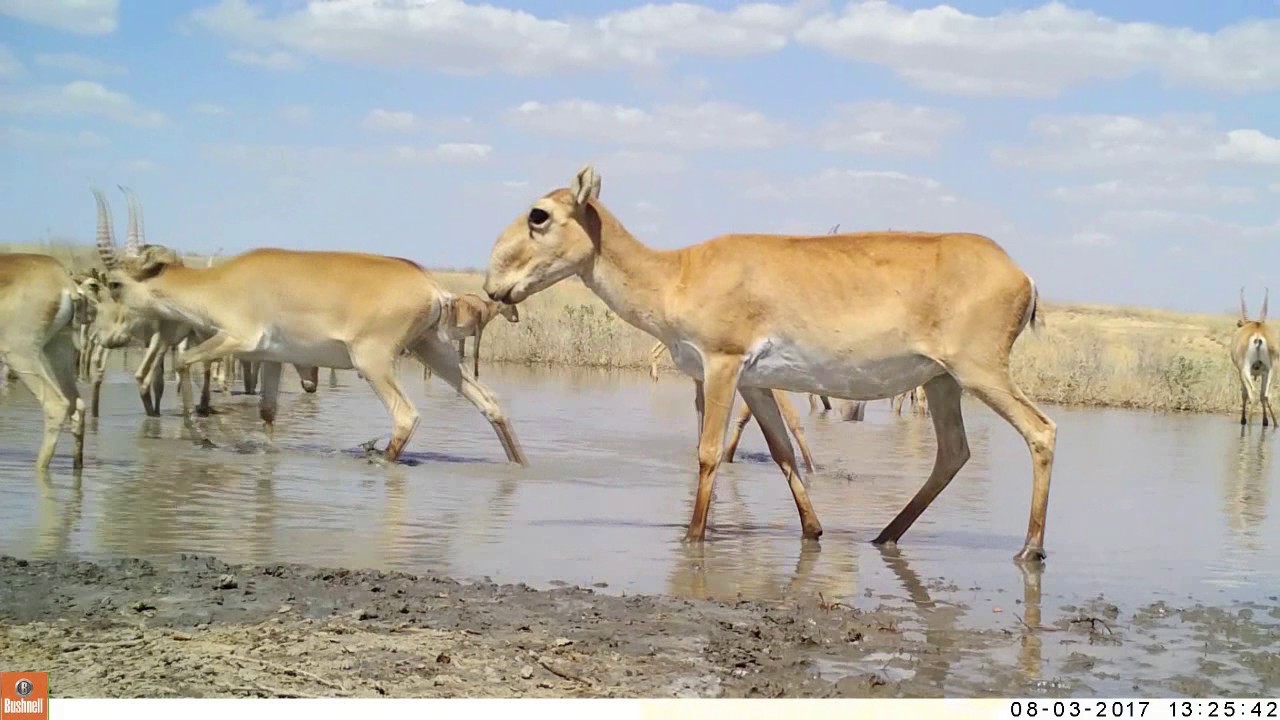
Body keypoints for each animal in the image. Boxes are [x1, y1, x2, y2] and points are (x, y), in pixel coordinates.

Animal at [93, 198, 524, 461]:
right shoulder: (269, 359)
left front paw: (200, 435)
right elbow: (267, 411)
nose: (104, 336)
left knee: (406, 415)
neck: (222, 283)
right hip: (433, 349)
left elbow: (183, 361)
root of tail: (432, 286)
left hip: (373, 362)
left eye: (113, 284)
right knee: (490, 402)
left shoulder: (236, 339)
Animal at [483, 163, 1054, 561]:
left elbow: (708, 452)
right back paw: (885, 535)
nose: (492, 286)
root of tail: (1023, 275)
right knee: (953, 453)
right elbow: (782, 453)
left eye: (539, 214)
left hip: (980, 374)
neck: (675, 274)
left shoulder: (722, 365)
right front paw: (813, 529)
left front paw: (693, 537)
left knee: (1041, 431)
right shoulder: (755, 385)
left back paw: (1030, 548)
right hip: (941, 383)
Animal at [1223, 286, 1274, 425]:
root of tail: (1257, 335)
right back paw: (1273, 424)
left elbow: (1244, 394)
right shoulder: (1263, 372)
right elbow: (1263, 395)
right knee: (1265, 395)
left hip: (1245, 370)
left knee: (1253, 395)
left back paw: (1248, 422)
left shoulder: (1240, 372)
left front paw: (1243, 419)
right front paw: (1265, 421)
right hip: (1270, 370)